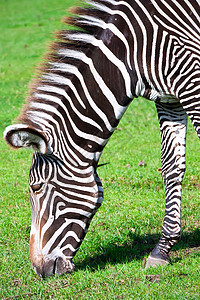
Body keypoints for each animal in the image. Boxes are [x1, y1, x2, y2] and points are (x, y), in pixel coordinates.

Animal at [3, 0, 200, 276]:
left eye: (36, 187)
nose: (38, 270)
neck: (130, 52)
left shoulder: (193, 82)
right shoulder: (169, 99)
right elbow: (171, 167)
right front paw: (162, 249)